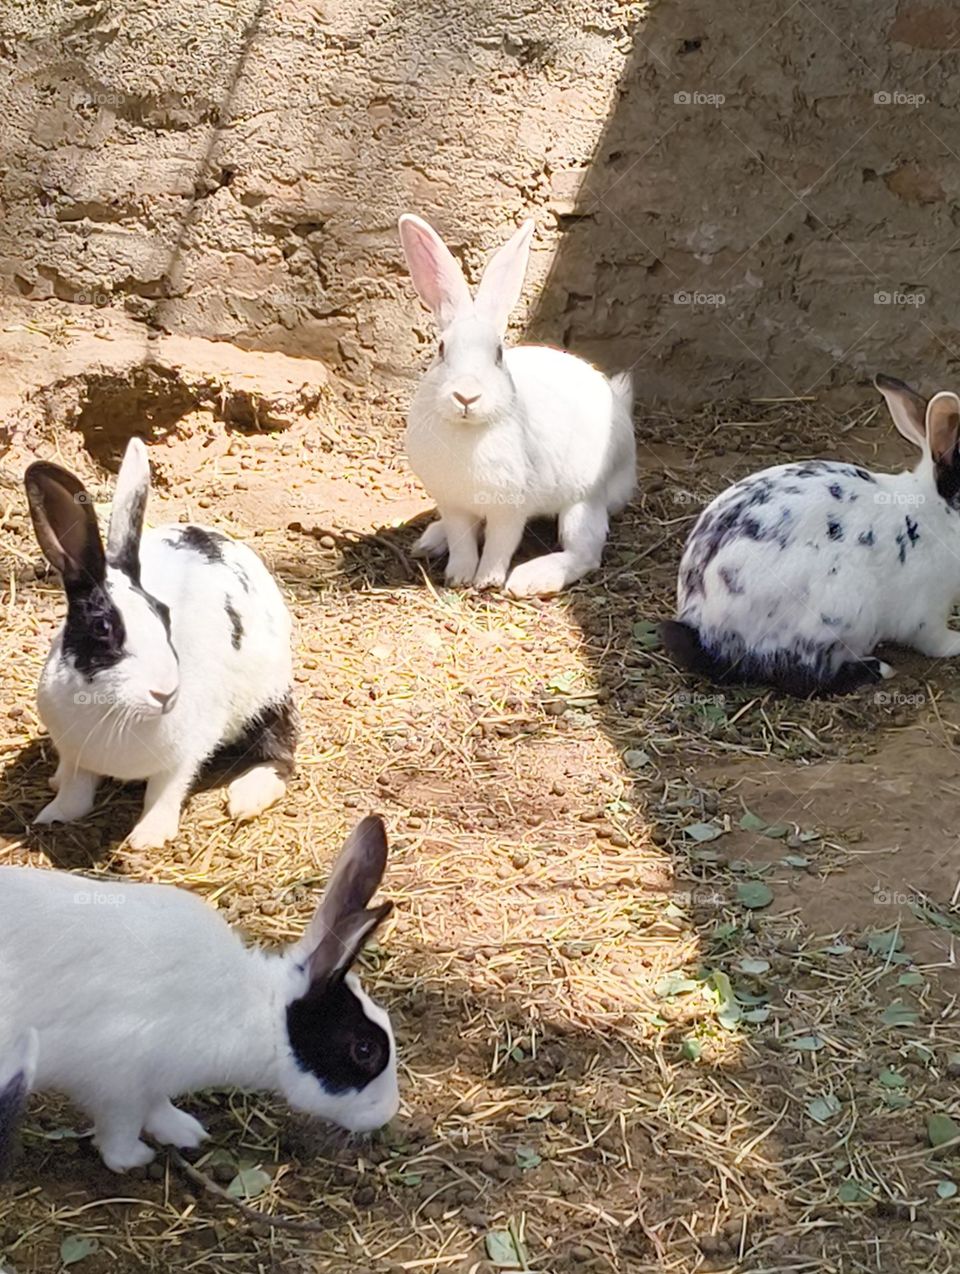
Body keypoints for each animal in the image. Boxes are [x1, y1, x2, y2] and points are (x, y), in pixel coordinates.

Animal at [0, 815, 399, 1173]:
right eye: (365, 1049)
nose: (387, 1113)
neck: (260, 1012)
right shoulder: (119, 1084)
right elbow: (121, 1128)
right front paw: (134, 1159)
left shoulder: (150, 1082)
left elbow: (157, 1106)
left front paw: (185, 1132)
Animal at [24, 438, 297, 849]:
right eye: (102, 627)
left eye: (164, 615)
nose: (165, 694)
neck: (115, 711)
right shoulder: (75, 754)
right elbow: (75, 791)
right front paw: (53, 816)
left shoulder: (183, 756)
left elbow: (163, 791)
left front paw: (148, 837)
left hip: (269, 699)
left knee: (281, 755)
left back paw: (246, 796)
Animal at [397, 213, 636, 597]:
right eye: (441, 350)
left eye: (498, 354)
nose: (466, 396)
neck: (468, 431)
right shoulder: (454, 506)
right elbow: (463, 542)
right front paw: (458, 576)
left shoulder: (509, 510)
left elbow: (499, 544)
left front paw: (487, 580)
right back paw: (430, 541)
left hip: (584, 499)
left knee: (585, 552)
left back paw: (529, 579)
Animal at [661, 374, 960, 695]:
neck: (939, 510)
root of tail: (705, 624)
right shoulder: (928, 613)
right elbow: (935, 641)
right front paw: (957, 642)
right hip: (840, 613)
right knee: (801, 675)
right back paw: (877, 669)